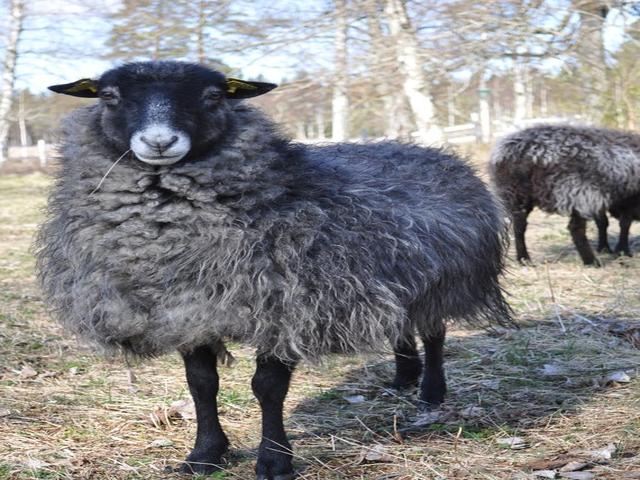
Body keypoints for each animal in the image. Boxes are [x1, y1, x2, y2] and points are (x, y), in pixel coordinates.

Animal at [37, 61, 512, 479]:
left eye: (213, 96)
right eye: (109, 96)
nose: (159, 142)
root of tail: (427, 149)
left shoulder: (284, 307)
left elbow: (267, 388)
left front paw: (274, 462)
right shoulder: (187, 310)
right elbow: (201, 384)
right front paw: (205, 455)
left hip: (445, 280)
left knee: (434, 332)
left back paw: (431, 391)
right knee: (401, 326)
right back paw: (402, 378)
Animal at [490, 124, 640, 266]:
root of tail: (529, 153)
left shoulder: (603, 199)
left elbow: (603, 222)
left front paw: (605, 248)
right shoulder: (623, 200)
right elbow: (624, 224)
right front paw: (622, 250)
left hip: (516, 192)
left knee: (519, 226)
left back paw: (524, 259)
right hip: (579, 191)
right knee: (575, 228)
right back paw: (591, 261)